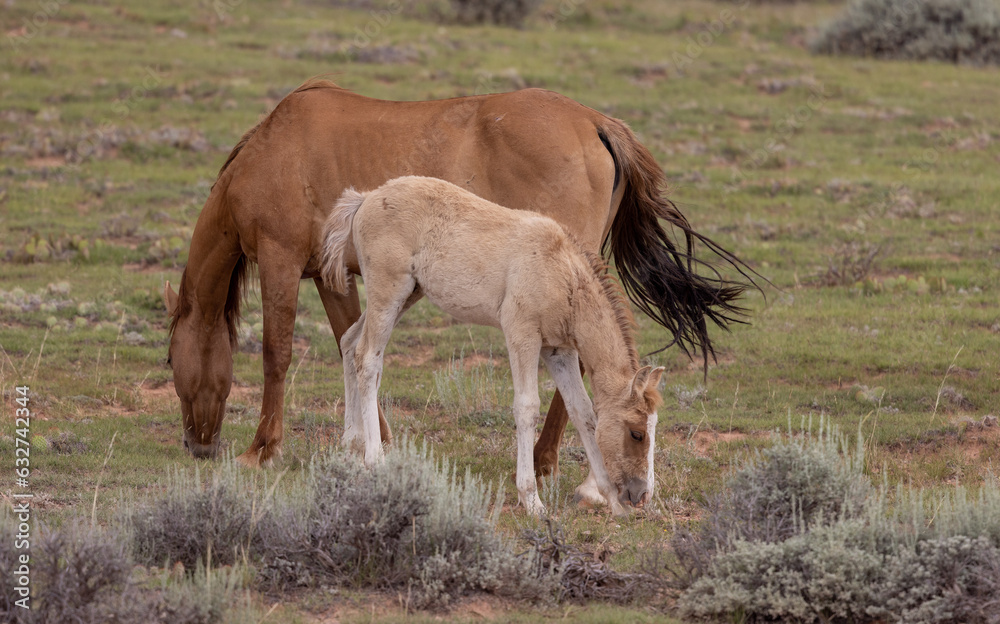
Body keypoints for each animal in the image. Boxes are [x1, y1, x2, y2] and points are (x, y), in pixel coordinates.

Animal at [164, 78, 751, 474]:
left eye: (169, 359)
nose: (197, 445)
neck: (272, 149)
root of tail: (593, 121)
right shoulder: (333, 277)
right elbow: (349, 345)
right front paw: (376, 441)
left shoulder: (281, 262)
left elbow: (277, 355)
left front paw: (262, 448)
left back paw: (542, 459)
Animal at [320, 176, 664, 515]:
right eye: (636, 433)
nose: (642, 496)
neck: (560, 272)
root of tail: (366, 198)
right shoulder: (522, 335)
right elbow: (527, 407)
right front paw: (532, 500)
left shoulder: (559, 351)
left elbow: (583, 412)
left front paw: (609, 499)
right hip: (388, 292)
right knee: (367, 358)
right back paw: (374, 460)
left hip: (408, 295)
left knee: (349, 341)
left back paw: (350, 447)